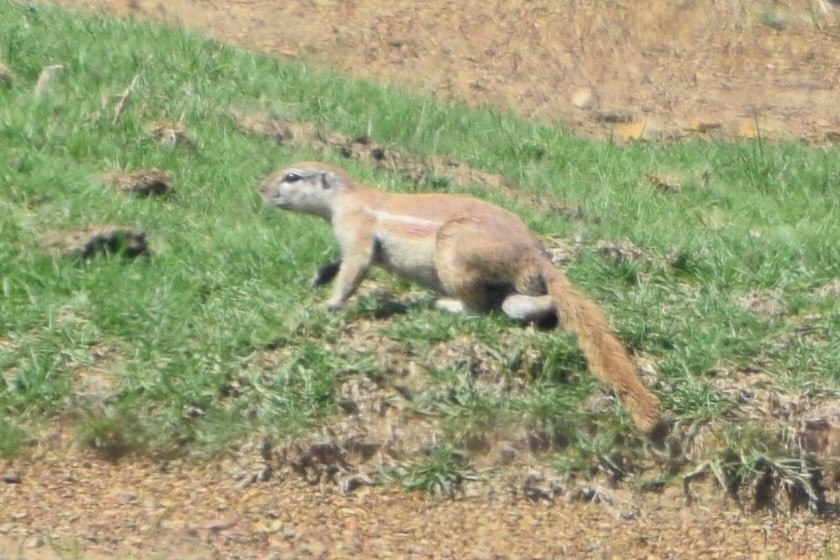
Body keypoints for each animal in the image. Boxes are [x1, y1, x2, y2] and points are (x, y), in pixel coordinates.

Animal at [260, 161, 662, 436]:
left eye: (291, 176)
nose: (260, 187)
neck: (347, 199)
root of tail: (539, 257)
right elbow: (340, 263)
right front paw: (318, 277)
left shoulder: (356, 229)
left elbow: (354, 267)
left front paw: (327, 303)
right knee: (520, 305)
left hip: (453, 252)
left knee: (480, 307)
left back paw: (446, 304)